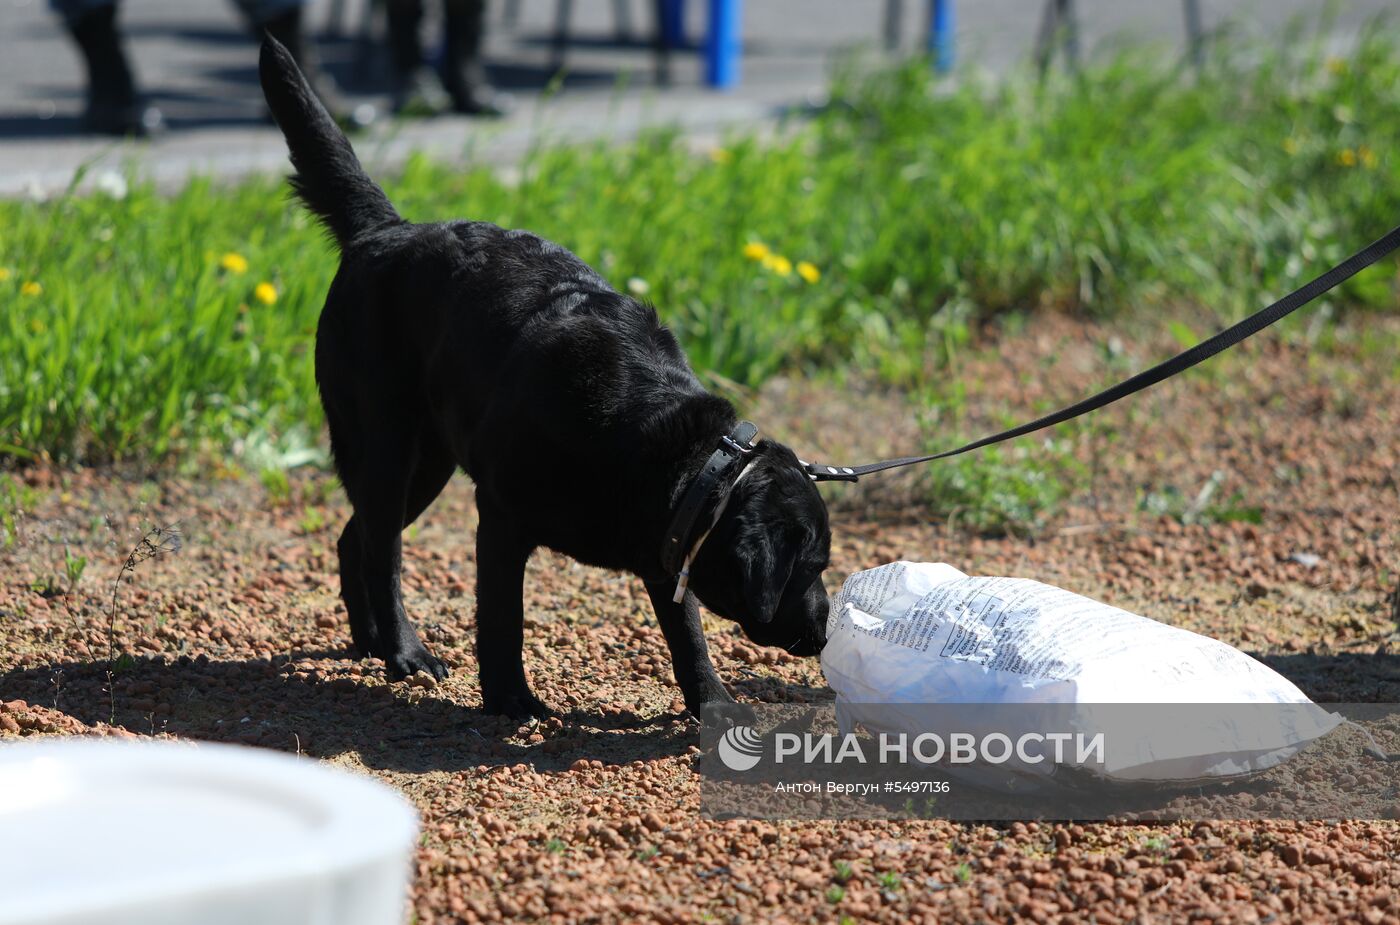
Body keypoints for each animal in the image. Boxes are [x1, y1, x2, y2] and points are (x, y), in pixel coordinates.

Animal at [260, 39, 828, 722]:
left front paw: (714, 704)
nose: (825, 631)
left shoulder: (669, 542)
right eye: (810, 567)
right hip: (386, 446)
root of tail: (385, 230)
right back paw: (405, 651)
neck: (642, 435)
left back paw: (371, 642)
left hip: (428, 462)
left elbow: (687, 634)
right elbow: (502, 618)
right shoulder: (502, 518)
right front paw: (510, 699)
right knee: (384, 552)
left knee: (359, 538)